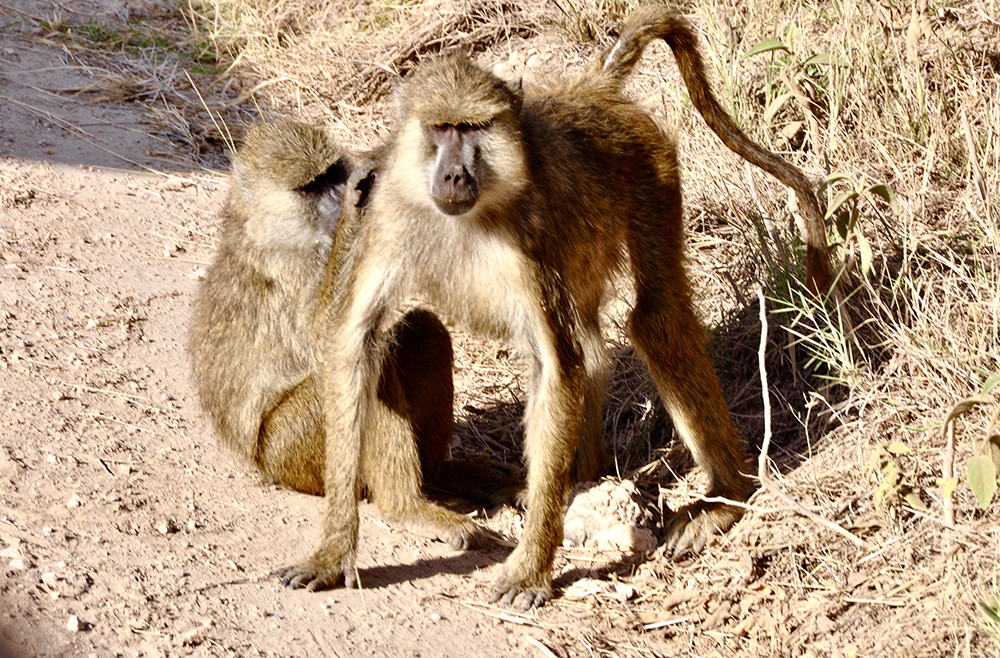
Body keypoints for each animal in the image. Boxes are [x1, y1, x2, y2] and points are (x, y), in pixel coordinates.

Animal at [188, 121, 486, 565]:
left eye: (332, 173)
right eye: (311, 187)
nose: (338, 197)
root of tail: (260, 464)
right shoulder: (292, 268)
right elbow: (332, 339)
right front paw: (355, 209)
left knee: (421, 331)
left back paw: (443, 475)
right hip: (293, 450)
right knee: (367, 366)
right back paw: (406, 509)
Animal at [279, 6, 830, 608]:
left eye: (473, 129)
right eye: (441, 128)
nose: (453, 175)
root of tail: (588, 93)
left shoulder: (530, 243)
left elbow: (555, 365)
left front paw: (531, 568)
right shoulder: (384, 222)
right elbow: (354, 345)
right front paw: (333, 552)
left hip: (649, 167)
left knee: (654, 319)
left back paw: (724, 495)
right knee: (594, 341)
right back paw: (581, 474)